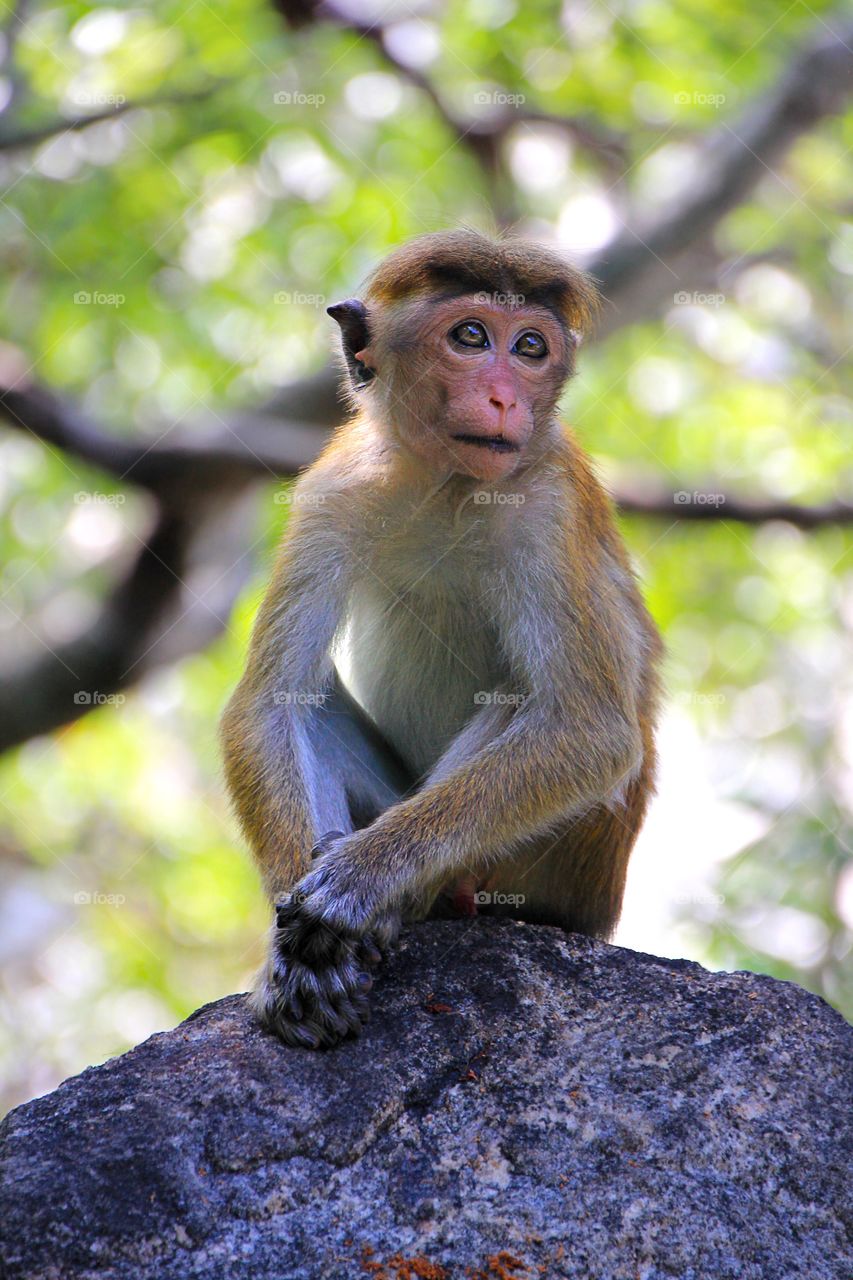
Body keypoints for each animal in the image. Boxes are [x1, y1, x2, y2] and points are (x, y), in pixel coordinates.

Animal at [220, 229, 662, 1049]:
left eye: (529, 347)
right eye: (470, 337)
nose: (504, 397)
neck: (447, 485)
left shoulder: (548, 505)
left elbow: (588, 729)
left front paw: (355, 883)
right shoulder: (332, 489)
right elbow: (271, 699)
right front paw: (289, 954)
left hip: (558, 863)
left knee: (523, 700)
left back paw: (400, 902)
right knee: (312, 697)